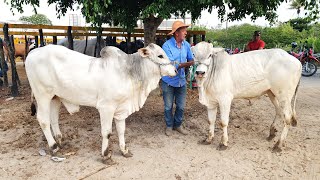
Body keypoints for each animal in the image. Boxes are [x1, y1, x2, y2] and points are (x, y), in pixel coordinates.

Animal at [26, 43, 176, 164]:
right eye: (160, 55)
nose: (175, 70)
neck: (129, 72)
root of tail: (33, 52)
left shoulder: (121, 109)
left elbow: (121, 130)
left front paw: (124, 150)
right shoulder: (106, 107)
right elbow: (107, 132)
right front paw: (105, 156)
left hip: (55, 97)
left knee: (53, 119)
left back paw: (59, 141)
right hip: (42, 95)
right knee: (43, 120)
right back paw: (53, 147)